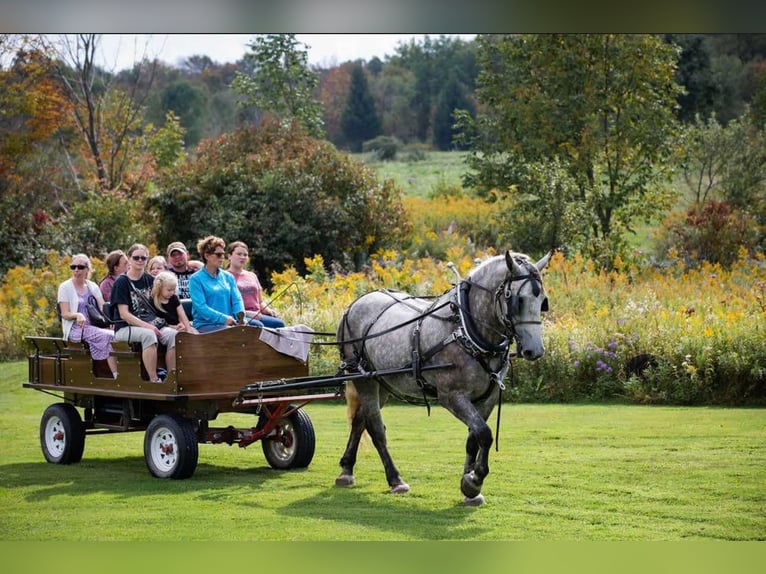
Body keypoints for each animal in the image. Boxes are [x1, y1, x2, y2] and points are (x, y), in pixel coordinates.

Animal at [336, 250, 552, 506]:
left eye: (543, 301)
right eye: (518, 300)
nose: (534, 350)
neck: (465, 330)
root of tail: (354, 305)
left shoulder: (487, 398)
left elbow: (474, 438)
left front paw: (470, 489)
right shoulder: (451, 396)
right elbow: (485, 434)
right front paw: (474, 481)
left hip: (383, 383)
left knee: (360, 420)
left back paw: (346, 470)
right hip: (364, 379)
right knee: (375, 427)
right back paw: (395, 479)